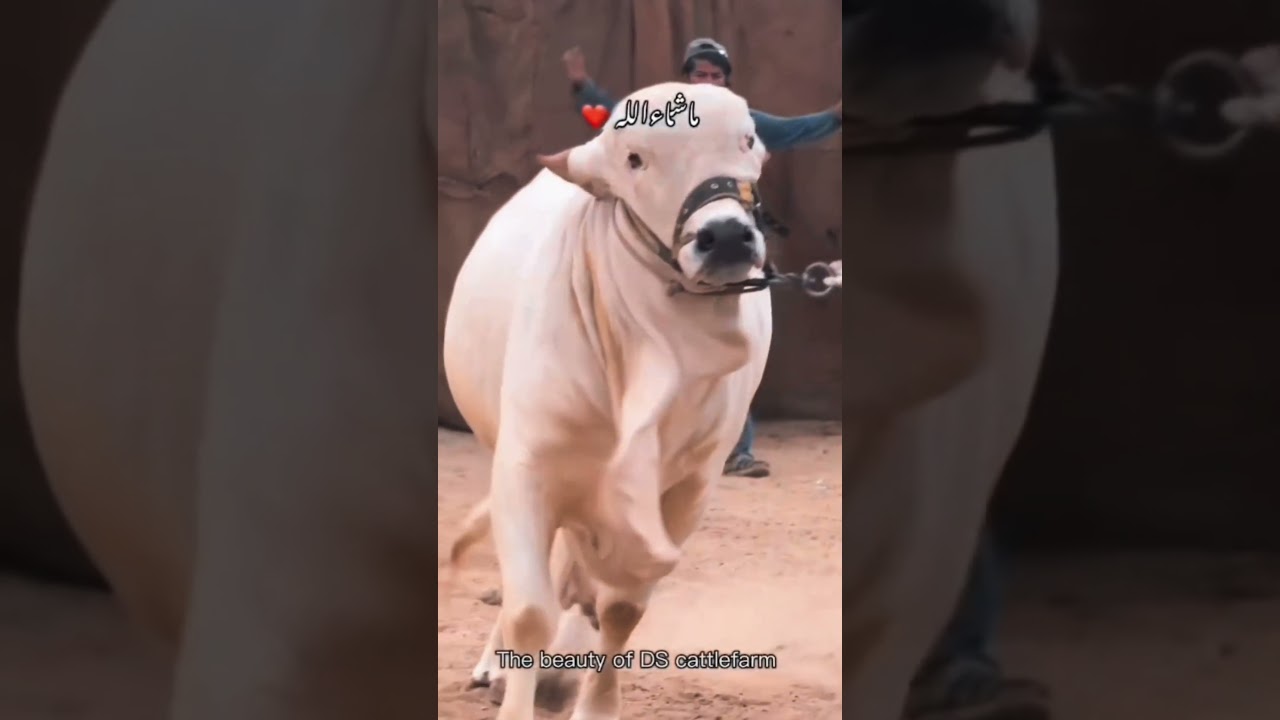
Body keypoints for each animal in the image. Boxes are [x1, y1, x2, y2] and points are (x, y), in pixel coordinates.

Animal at [442, 80, 775, 720]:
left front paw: (593, 702)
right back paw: (501, 666)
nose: (725, 236)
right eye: (635, 159)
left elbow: (622, 609)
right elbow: (529, 612)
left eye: (748, 141)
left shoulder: (685, 491)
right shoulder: (525, 466)